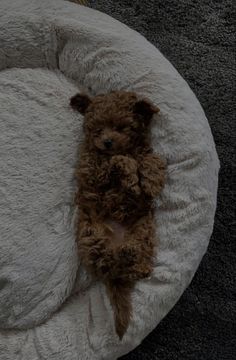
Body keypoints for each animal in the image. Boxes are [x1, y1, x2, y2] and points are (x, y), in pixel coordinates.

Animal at [70, 91, 166, 338]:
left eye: (122, 128)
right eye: (98, 130)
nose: (107, 142)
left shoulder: (146, 153)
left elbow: (152, 160)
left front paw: (150, 182)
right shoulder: (91, 169)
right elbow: (119, 161)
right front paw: (131, 179)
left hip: (143, 228)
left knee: (134, 265)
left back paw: (134, 258)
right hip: (92, 236)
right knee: (109, 263)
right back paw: (123, 254)